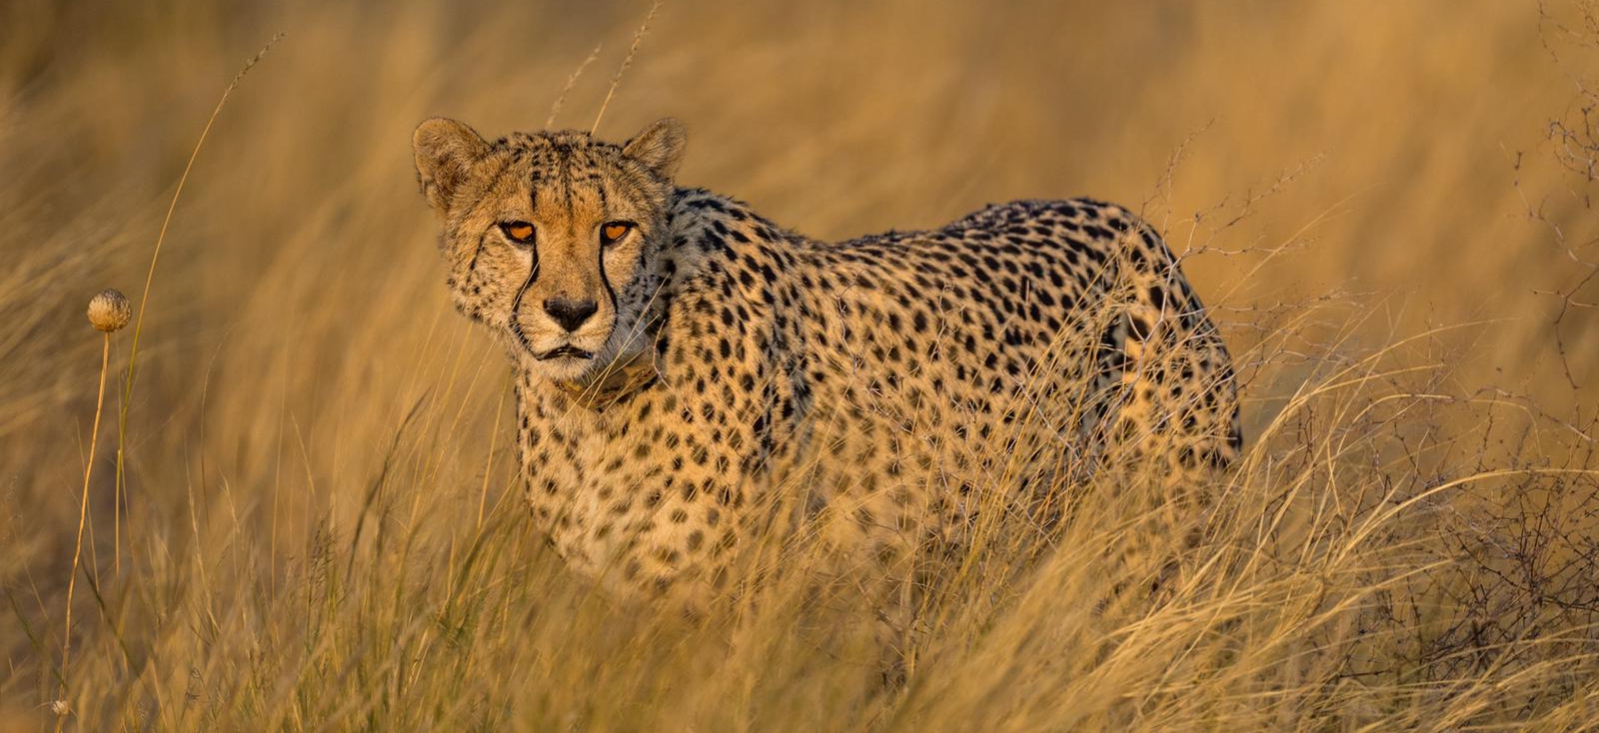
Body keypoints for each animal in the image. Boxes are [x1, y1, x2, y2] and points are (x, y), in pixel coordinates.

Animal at [409, 120, 1234, 611]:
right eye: (518, 229)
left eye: (614, 229)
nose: (572, 311)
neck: (595, 397)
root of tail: (1128, 223)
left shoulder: (733, 599)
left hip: (1158, 548)